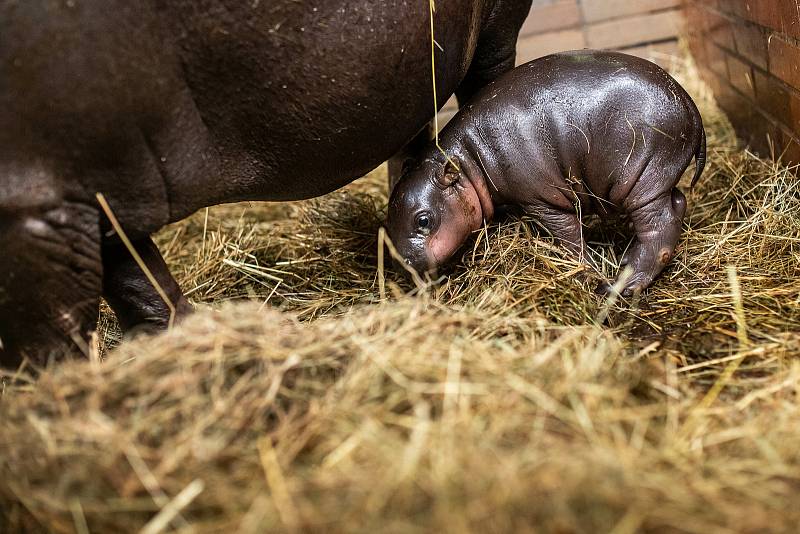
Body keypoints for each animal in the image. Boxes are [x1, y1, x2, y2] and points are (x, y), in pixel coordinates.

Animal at [3, 1, 536, 368]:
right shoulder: (92, 194)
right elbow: (136, 277)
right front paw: (171, 341)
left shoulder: (37, 207)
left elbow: (50, 337)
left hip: (497, 26)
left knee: (485, 85)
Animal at [388, 50, 708, 298]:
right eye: (388, 221)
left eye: (424, 220)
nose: (405, 264)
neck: (468, 159)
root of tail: (690, 103)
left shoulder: (542, 199)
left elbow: (568, 236)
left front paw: (587, 268)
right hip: (657, 178)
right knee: (677, 203)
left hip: (643, 180)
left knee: (658, 227)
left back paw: (620, 286)